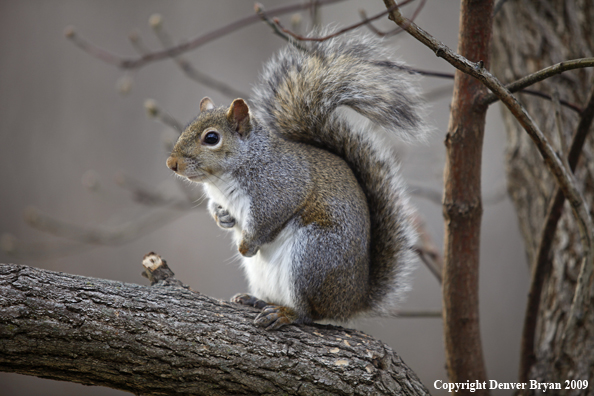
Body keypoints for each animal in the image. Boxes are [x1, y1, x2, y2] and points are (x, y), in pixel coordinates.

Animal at [164, 31, 428, 330]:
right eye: (186, 128)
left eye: (211, 138)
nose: (171, 164)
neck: (221, 179)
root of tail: (352, 301)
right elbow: (217, 210)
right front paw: (223, 218)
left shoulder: (280, 188)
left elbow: (267, 219)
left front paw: (246, 245)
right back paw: (256, 300)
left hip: (312, 257)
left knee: (309, 313)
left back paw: (285, 314)